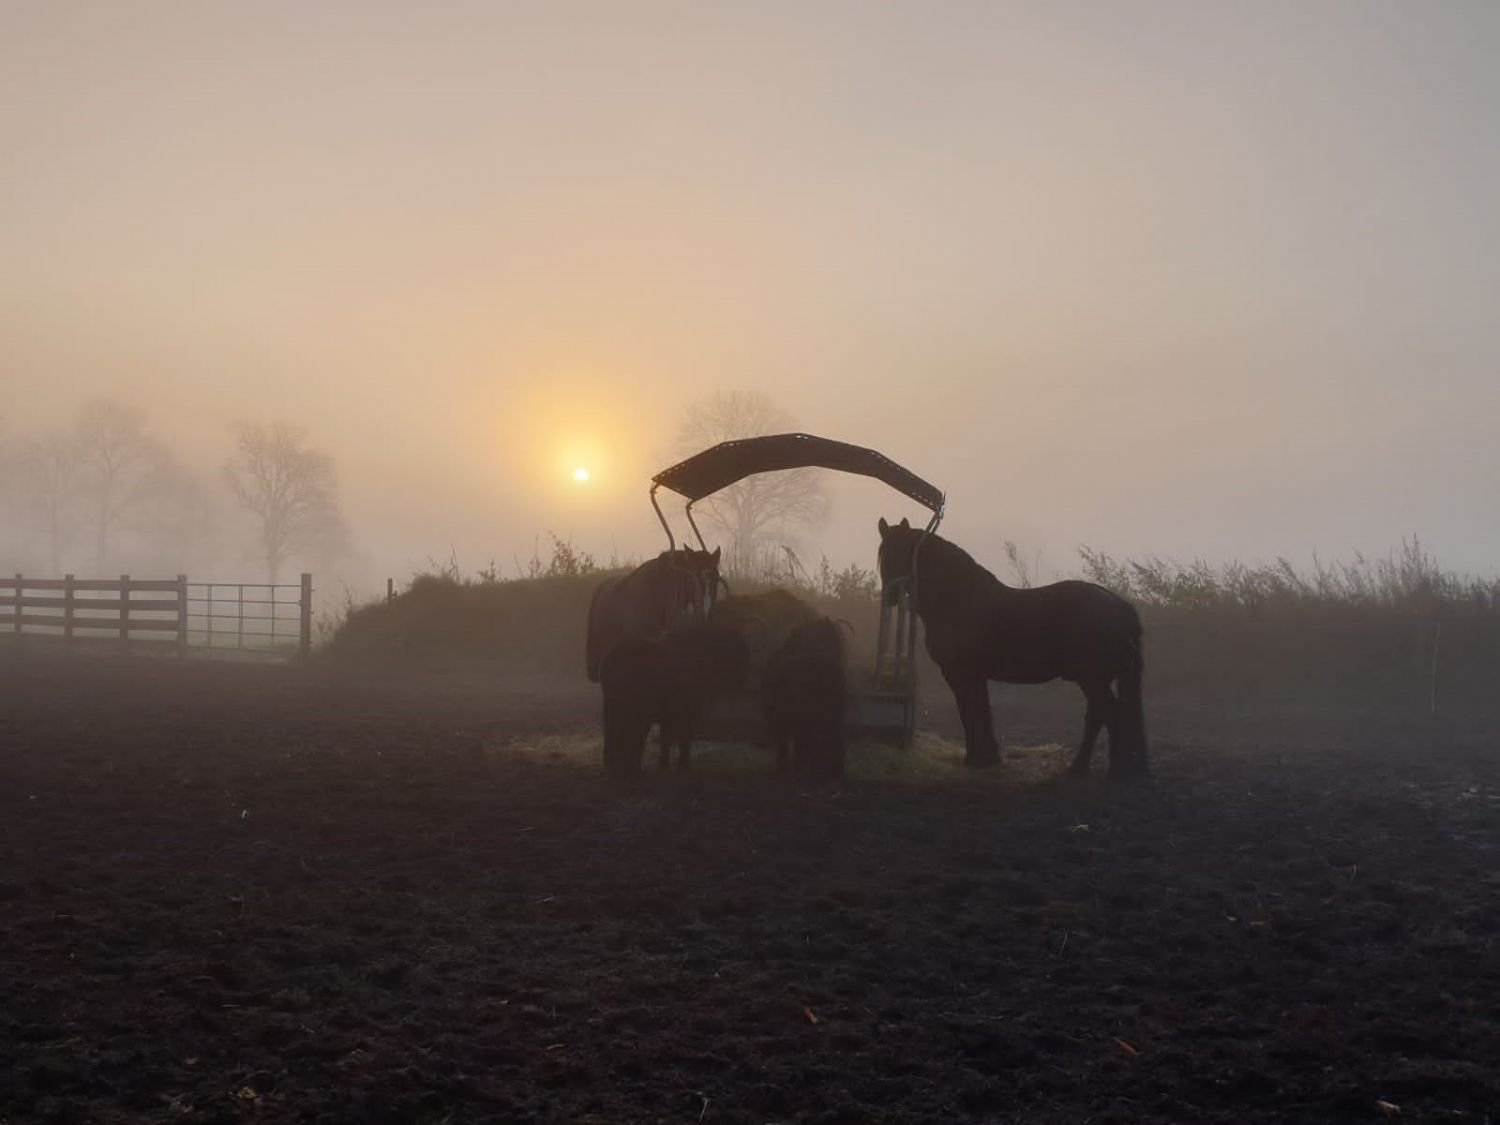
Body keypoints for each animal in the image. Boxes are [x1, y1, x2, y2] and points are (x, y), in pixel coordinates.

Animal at [597, 621, 750, 780]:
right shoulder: (687, 705)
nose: (744, 681)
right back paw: (628, 770)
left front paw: (664, 765)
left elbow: (666, 736)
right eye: (740, 656)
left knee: (614, 728)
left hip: (612, 701)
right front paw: (683, 767)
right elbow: (684, 733)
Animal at [876, 519, 1146, 774]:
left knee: (1108, 715)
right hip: (1094, 680)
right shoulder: (973, 675)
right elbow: (977, 711)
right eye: (882, 554)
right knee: (1099, 716)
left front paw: (976, 759)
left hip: (1092, 679)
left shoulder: (959, 673)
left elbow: (970, 712)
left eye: (902, 551)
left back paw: (1106, 770)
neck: (959, 599)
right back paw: (1085, 768)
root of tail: (1119, 604)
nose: (890, 596)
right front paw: (985, 758)